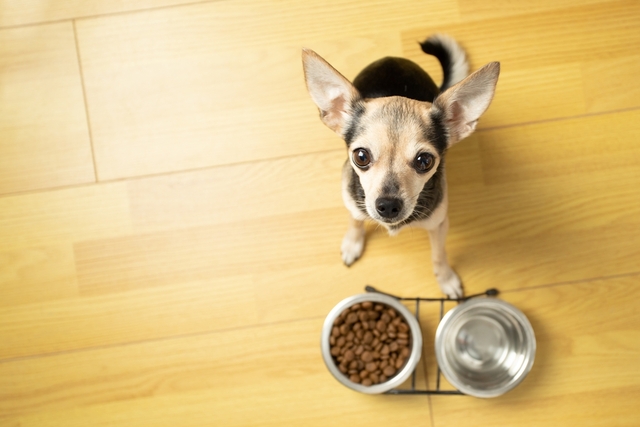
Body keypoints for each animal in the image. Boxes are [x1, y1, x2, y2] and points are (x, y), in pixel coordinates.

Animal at [302, 35, 500, 298]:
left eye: (425, 161)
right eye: (361, 156)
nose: (387, 205)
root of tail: (391, 59)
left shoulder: (439, 224)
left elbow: (439, 255)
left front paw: (446, 278)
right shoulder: (352, 202)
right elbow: (355, 220)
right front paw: (353, 244)